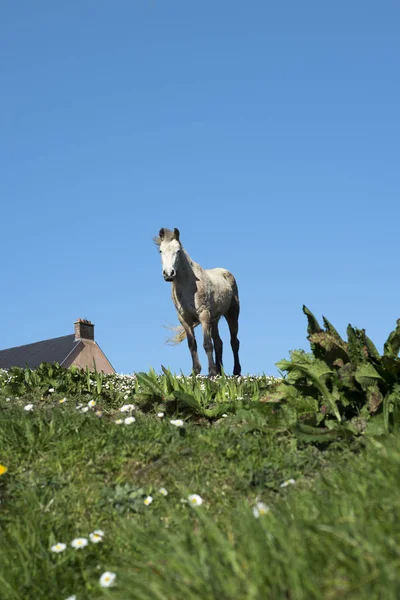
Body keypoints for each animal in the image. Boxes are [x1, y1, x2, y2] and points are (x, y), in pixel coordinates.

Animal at [153, 229, 241, 376]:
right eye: (160, 251)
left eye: (178, 251)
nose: (169, 273)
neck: (188, 286)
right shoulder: (184, 319)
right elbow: (192, 345)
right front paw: (195, 372)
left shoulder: (204, 315)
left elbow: (207, 344)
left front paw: (211, 372)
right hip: (214, 320)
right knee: (219, 343)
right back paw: (220, 372)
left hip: (232, 314)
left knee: (234, 342)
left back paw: (236, 371)